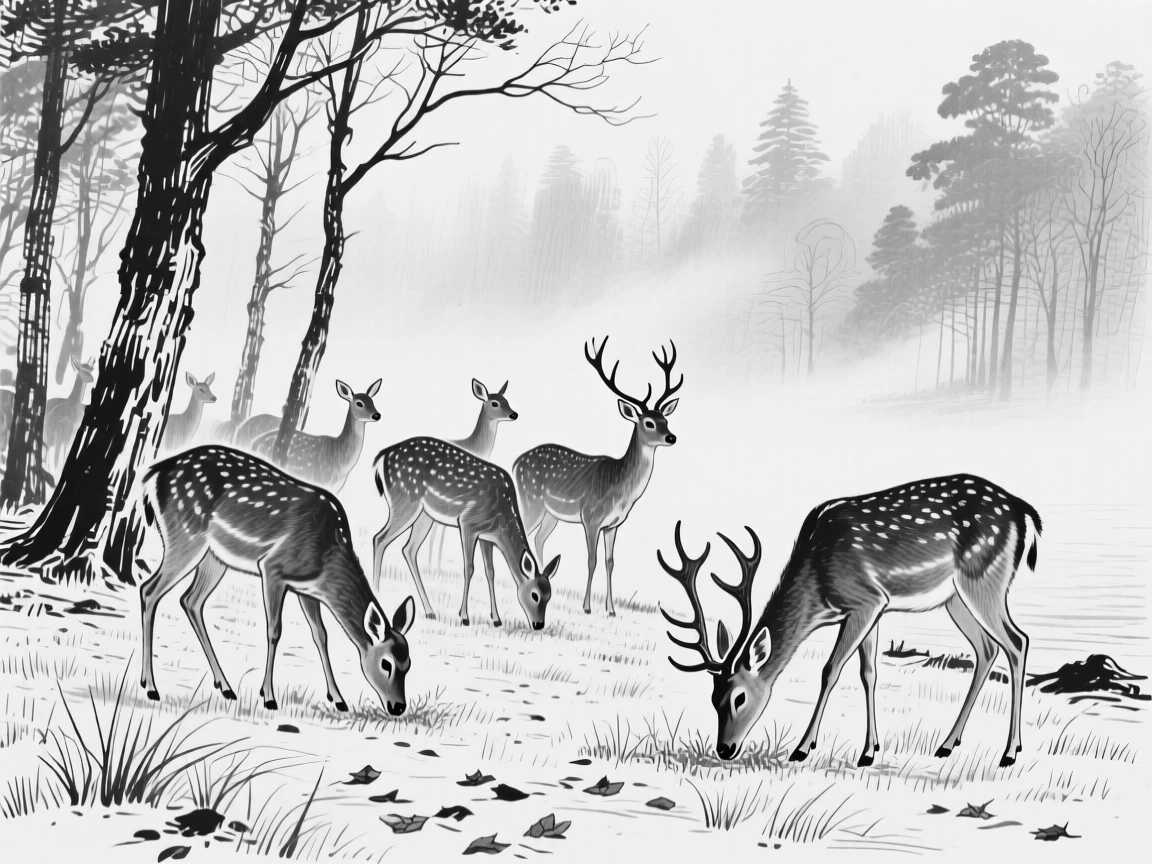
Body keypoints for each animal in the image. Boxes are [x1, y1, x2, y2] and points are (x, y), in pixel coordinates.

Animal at [139, 445, 417, 715]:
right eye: (386, 664)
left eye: (409, 663)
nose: (398, 707)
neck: (328, 553)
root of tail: (151, 478)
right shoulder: (273, 568)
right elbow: (274, 630)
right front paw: (269, 697)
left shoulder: (307, 589)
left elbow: (321, 634)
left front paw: (338, 699)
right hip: (185, 537)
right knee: (148, 590)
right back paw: (151, 687)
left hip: (213, 558)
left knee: (190, 600)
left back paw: (225, 687)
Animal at [371, 437, 560, 629]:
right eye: (535, 595)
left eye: (549, 596)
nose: (539, 625)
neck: (502, 515)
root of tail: (382, 457)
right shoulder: (468, 523)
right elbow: (469, 568)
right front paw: (464, 617)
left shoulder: (487, 536)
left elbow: (490, 571)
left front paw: (496, 619)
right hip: (405, 501)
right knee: (379, 538)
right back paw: (377, 592)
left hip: (424, 515)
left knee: (408, 549)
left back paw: (430, 611)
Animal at [514, 336, 681, 618]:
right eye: (648, 422)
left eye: (665, 419)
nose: (672, 437)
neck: (620, 489)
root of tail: (516, 462)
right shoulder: (590, 517)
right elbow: (591, 560)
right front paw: (587, 607)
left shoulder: (614, 525)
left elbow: (610, 561)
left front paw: (611, 610)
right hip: (531, 501)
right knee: (521, 531)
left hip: (551, 513)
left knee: (537, 538)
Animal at [659, 474, 1043, 770]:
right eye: (713, 699)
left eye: (739, 698)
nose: (724, 749)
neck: (818, 581)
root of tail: (1022, 512)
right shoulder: (876, 607)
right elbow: (869, 673)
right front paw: (870, 751)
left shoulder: (865, 601)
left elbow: (831, 670)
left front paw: (803, 748)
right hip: (955, 598)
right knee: (987, 649)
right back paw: (948, 744)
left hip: (983, 580)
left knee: (1017, 641)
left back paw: (1010, 752)